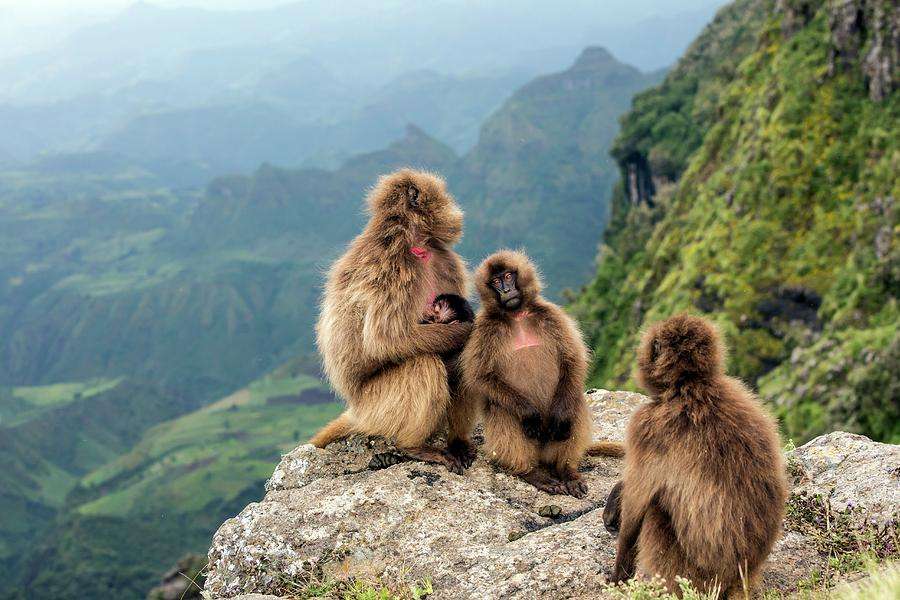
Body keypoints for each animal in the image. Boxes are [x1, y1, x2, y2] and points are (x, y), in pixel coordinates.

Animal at [309, 169, 478, 473]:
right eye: (444, 194)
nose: (456, 208)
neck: (415, 243)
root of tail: (356, 409)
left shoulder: (445, 259)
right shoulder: (392, 266)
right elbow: (385, 340)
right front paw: (469, 329)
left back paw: (456, 442)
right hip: (376, 407)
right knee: (423, 364)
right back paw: (413, 447)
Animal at [460, 250, 623, 498]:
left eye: (508, 276)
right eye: (496, 282)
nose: (506, 291)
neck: (516, 314)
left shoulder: (551, 314)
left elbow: (572, 360)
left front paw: (560, 417)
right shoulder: (484, 328)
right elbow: (481, 376)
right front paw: (530, 414)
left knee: (572, 400)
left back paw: (566, 470)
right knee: (502, 408)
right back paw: (531, 473)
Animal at [609, 314, 788, 598]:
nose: (640, 357)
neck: (689, 385)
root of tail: (738, 577)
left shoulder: (645, 426)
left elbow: (635, 508)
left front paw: (618, 576)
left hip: (690, 573)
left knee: (655, 511)